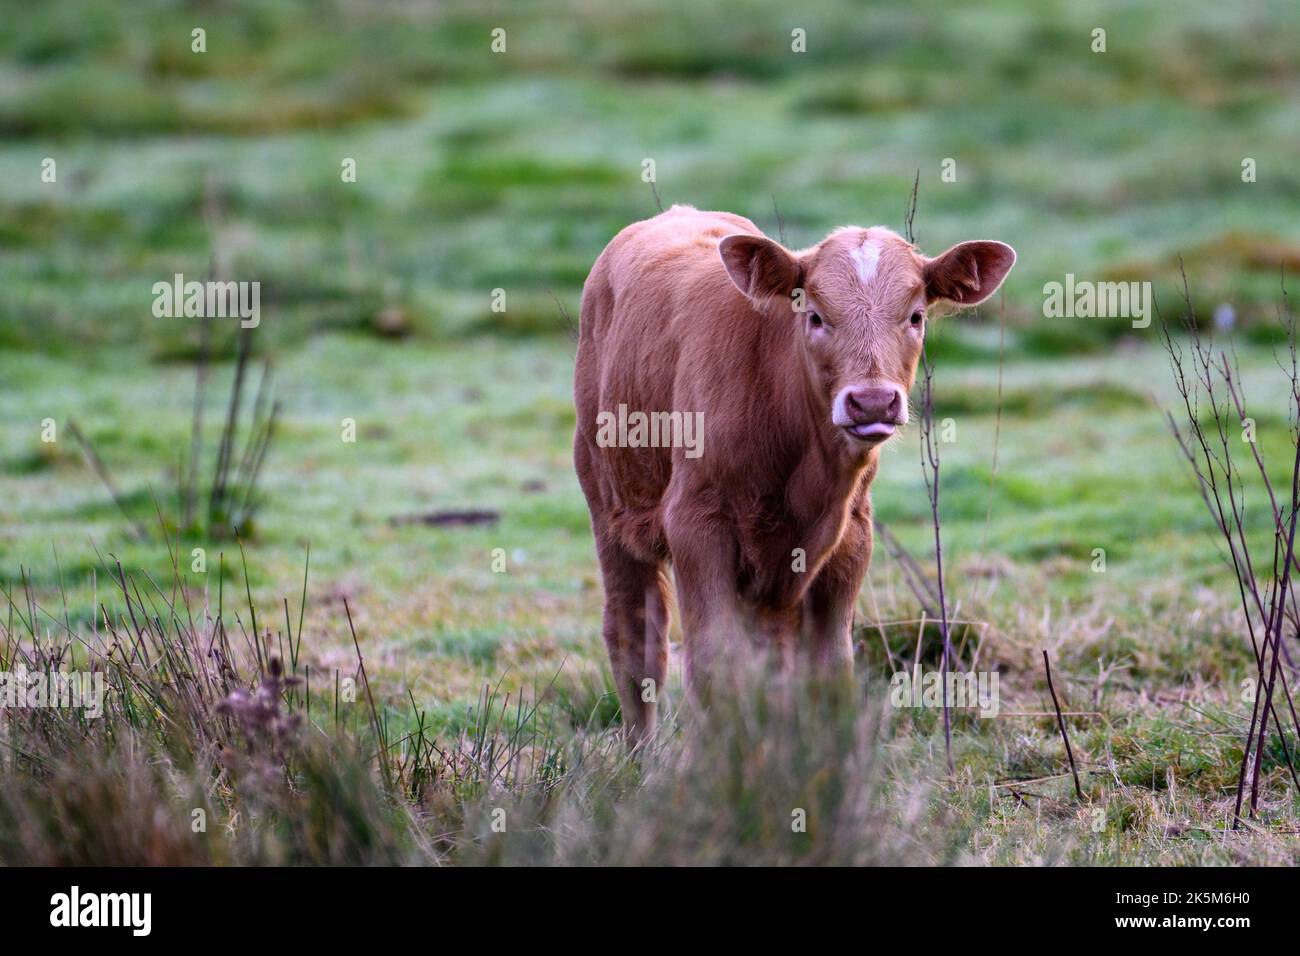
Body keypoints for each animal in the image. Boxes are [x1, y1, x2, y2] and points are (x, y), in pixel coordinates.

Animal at [577, 204, 1013, 749]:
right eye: (816, 315)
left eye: (915, 315)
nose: (872, 401)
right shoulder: (696, 524)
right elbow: (714, 665)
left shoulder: (850, 536)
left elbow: (828, 669)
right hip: (609, 508)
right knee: (636, 641)